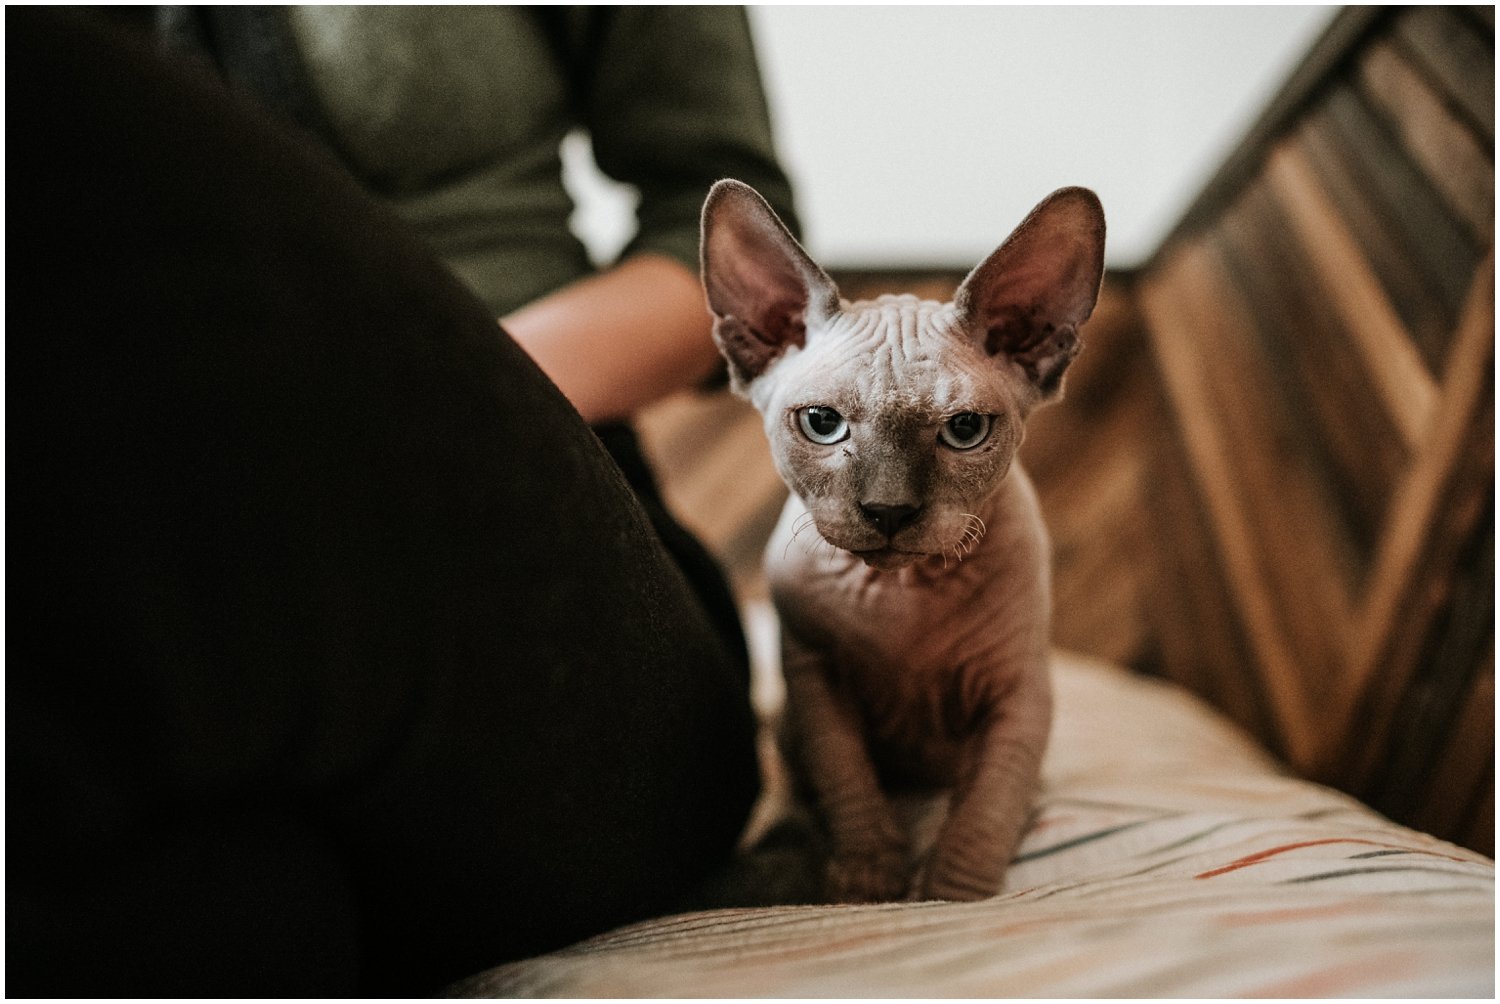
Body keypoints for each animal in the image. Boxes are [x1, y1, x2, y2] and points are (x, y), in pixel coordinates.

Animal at [699, 180, 1104, 900]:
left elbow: (986, 810)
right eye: (822, 423)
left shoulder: (1019, 695)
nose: (889, 510)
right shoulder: (815, 680)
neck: (902, 597)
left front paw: (948, 899)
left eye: (965, 430)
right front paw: (867, 883)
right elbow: (847, 780)